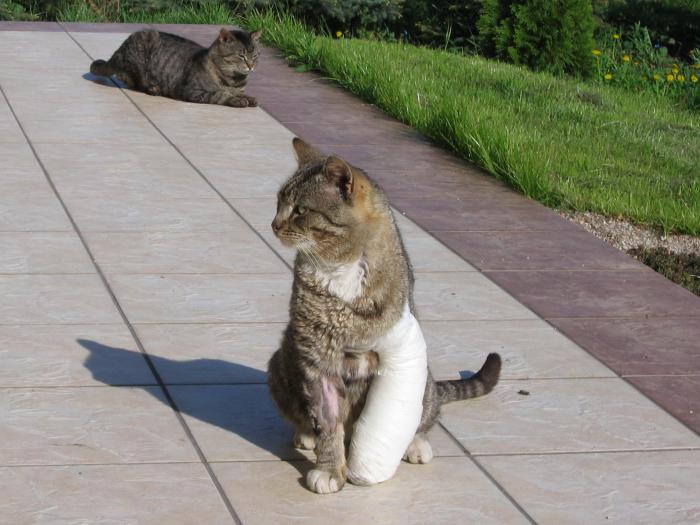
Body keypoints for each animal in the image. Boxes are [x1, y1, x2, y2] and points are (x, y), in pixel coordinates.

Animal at [90, 27, 261, 107]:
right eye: (241, 56)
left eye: (255, 56)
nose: (251, 66)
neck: (234, 80)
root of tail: (117, 52)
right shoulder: (193, 91)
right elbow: (220, 94)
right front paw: (236, 100)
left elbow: (241, 94)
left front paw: (249, 98)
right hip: (143, 48)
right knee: (138, 81)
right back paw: (153, 88)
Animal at [267, 137, 502, 494]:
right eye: (279, 202)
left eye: (301, 210)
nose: (274, 224)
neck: (339, 267)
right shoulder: (316, 357)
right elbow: (328, 422)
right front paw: (330, 467)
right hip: (281, 361)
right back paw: (307, 434)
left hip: (424, 383)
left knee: (425, 415)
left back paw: (415, 444)